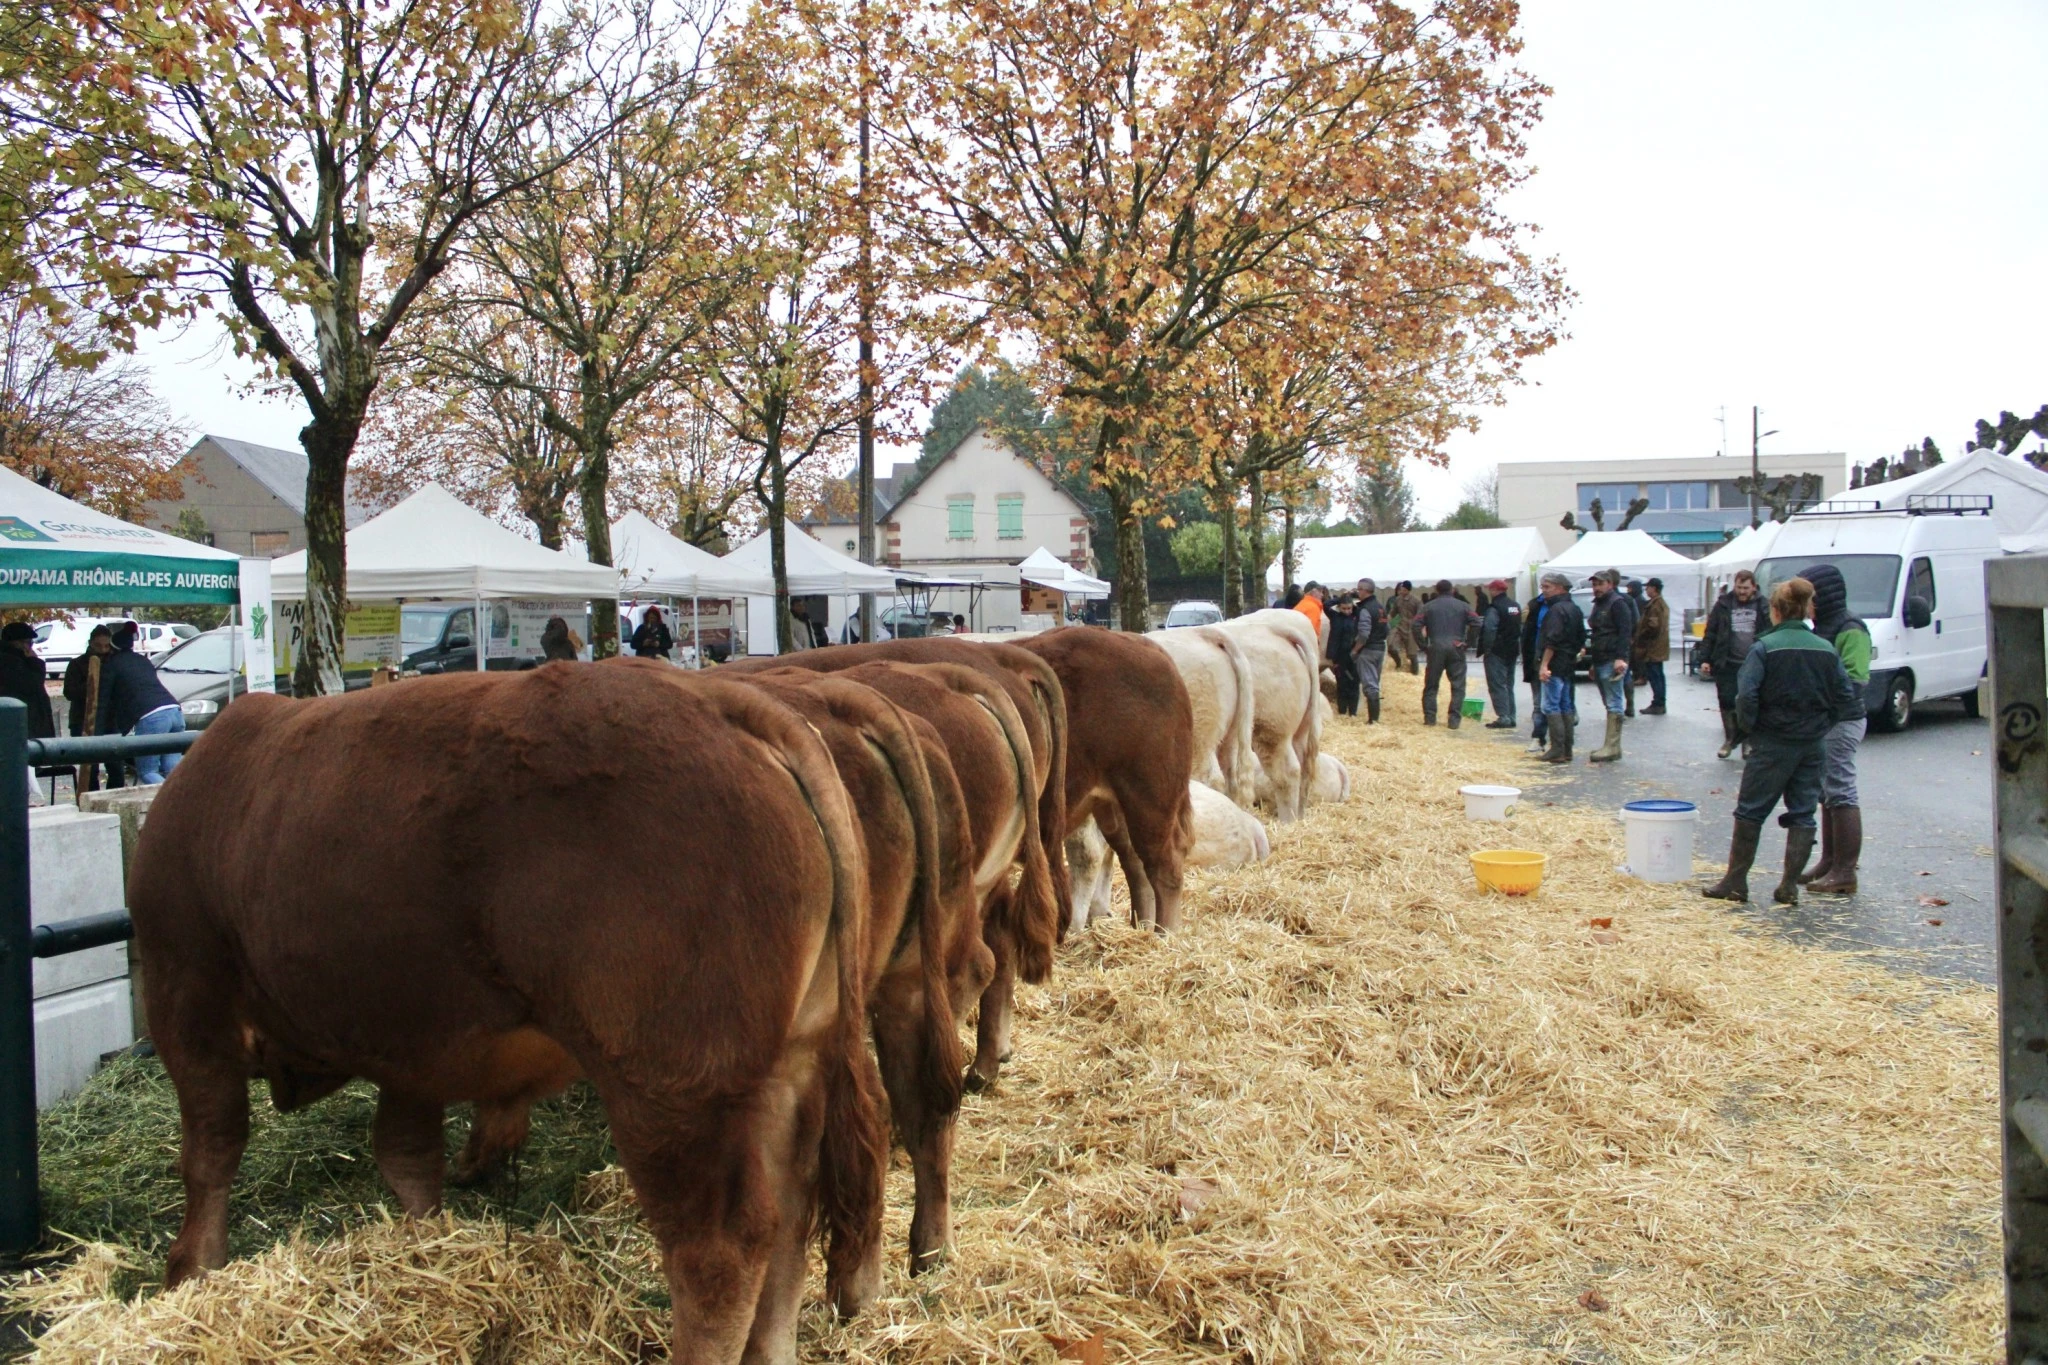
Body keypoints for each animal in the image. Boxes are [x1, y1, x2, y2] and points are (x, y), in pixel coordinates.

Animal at [128, 667, 888, 1358]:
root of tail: (723, 700)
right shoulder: (410, 1042)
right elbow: (406, 1155)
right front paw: (423, 1245)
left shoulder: (185, 995)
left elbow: (211, 1148)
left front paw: (190, 1269)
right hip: (786, 1067)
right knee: (792, 1217)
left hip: (673, 1088)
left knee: (719, 1249)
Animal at [1024, 626, 1196, 929]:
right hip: (1114, 805)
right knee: (1135, 864)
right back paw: (1141, 928)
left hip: (1151, 798)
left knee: (1165, 865)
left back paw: (1164, 934)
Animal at [1220, 609, 1318, 822]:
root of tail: (1272, 630)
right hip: (1301, 728)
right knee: (1304, 765)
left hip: (1271, 729)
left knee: (1286, 773)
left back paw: (1287, 822)